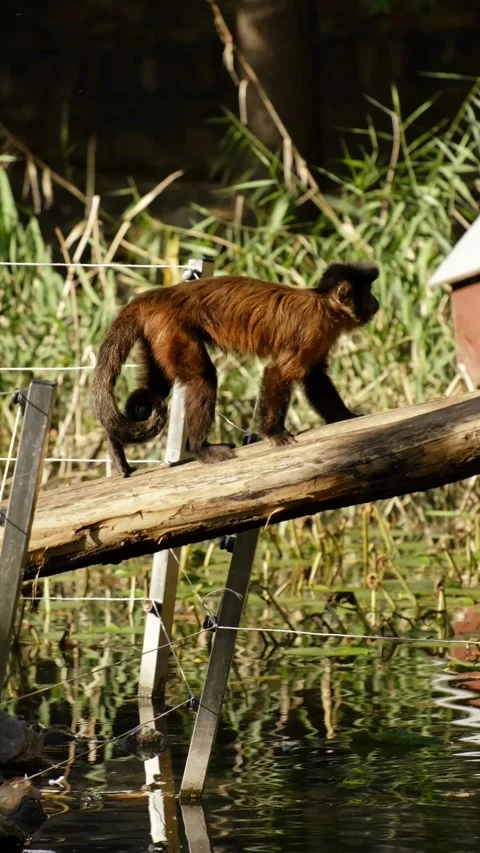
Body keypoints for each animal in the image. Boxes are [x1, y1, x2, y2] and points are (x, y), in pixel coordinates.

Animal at [92, 261, 379, 477]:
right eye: (367, 294)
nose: (376, 301)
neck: (324, 306)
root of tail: (153, 295)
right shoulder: (313, 328)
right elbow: (279, 372)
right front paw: (275, 434)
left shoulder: (322, 336)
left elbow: (315, 376)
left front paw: (345, 415)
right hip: (170, 325)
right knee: (202, 378)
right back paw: (201, 448)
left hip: (156, 332)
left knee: (152, 390)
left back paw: (115, 445)